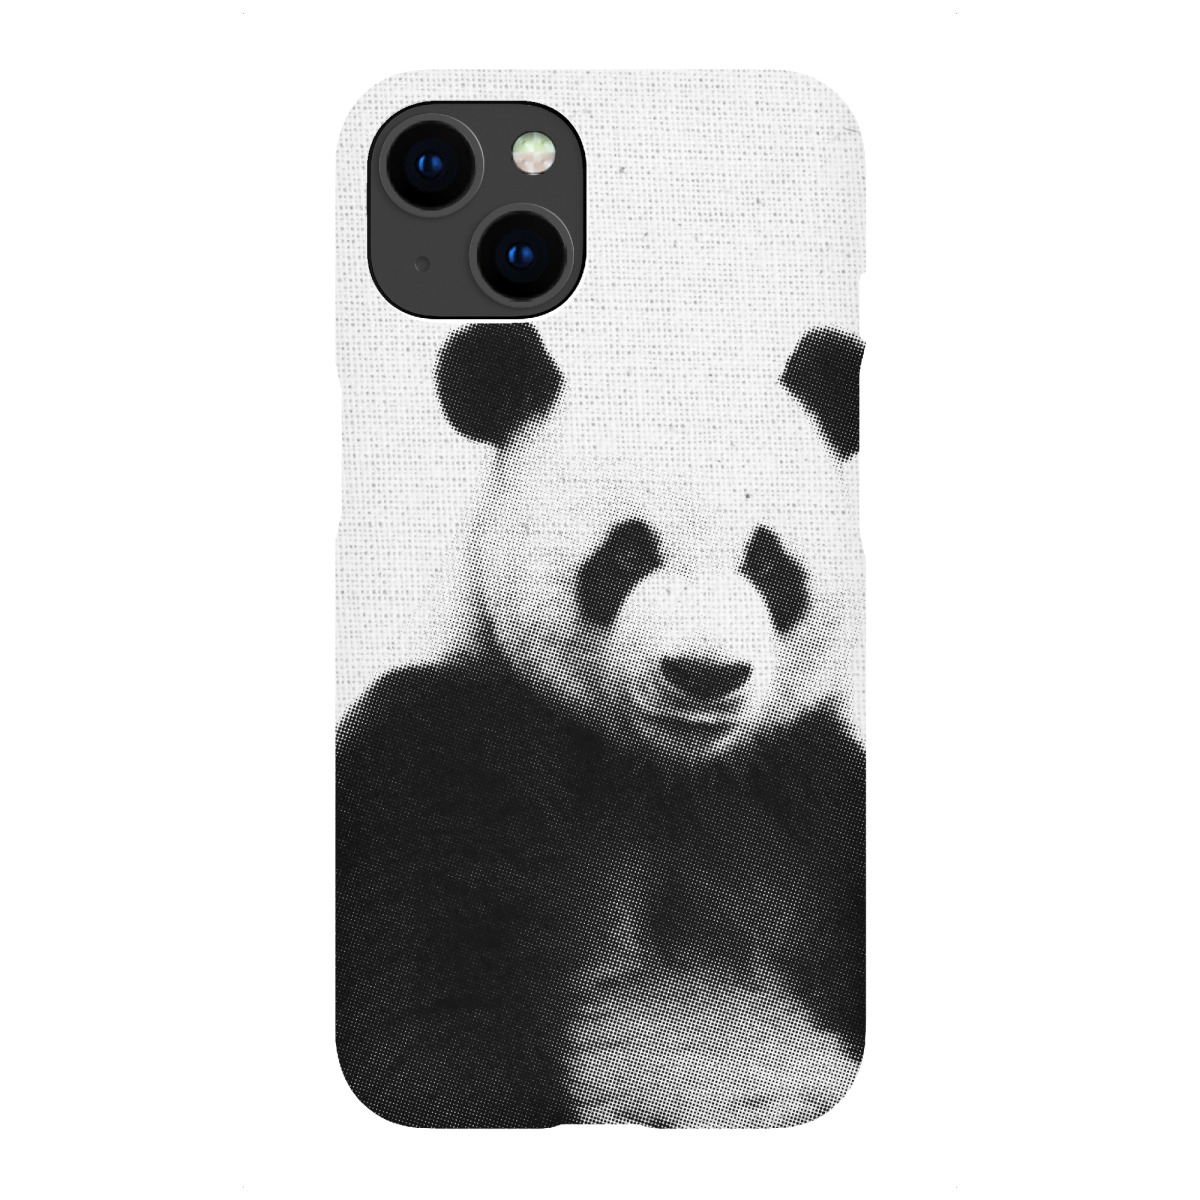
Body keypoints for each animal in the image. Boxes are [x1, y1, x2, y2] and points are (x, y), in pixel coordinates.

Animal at [336, 322, 865, 1129]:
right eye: (626, 553)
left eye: (770, 565)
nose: (705, 672)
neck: (662, 771)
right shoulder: (445, 749)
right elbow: (427, 997)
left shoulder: (807, 784)